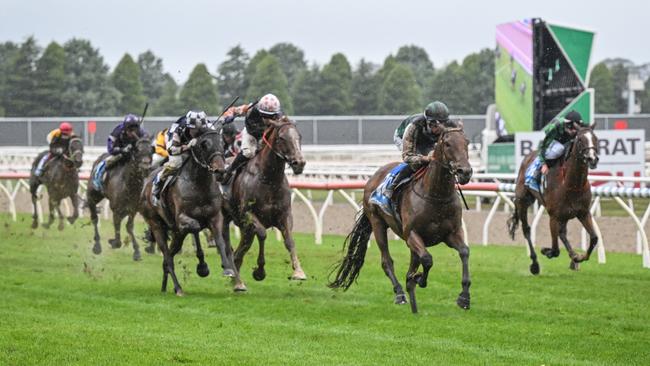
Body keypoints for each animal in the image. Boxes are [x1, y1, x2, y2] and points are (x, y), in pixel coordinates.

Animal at [140, 127, 244, 296]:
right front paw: (202, 266)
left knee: (169, 256)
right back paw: (178, 288)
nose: (220, 171)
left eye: (222, 143)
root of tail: (146, 185)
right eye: (204, 145)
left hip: (177, 234)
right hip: (156, 225)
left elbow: (220, 241)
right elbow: (195, 228)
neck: (199, 184)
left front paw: (227, 269)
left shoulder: (215, 217)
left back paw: (164, 287)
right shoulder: (182, 219)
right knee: (167, 256)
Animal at [221, 118, 306, 288]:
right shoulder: (248, 214)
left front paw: (298, 272)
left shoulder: (285, 214)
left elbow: (289, 241)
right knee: (229, 248)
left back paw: (237, 280)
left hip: (244, 227)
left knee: (240, 250)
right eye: (281, 138)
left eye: (299, 137)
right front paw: (259, 271)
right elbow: (262, 234)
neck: (269, 179)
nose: (299, 163)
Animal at [330, 127, 470, 314]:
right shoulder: (412, 234)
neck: (436, 195)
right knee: (387, 261)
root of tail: (374, 177)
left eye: (467, 142)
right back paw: (400, 293)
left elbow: (464, 252)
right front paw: (419, 279)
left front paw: (464, 297)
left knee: (414, 261)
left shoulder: (452, 233)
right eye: (447, 143)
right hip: (377, 223)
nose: (465, 172)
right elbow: (427, 259)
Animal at [506, 126, 596, 272]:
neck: (571, 184)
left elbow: (594, 238)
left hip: (563, 214)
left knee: (562, 233)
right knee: (527, 230)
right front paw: (546, 251)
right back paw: (535, 264)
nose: (592, 158)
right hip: (523, 201)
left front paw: (579, 257)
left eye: (595, 138)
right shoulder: (554, 216)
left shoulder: (583, 213)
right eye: (580, 140)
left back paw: (573, 257)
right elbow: (555, 250)